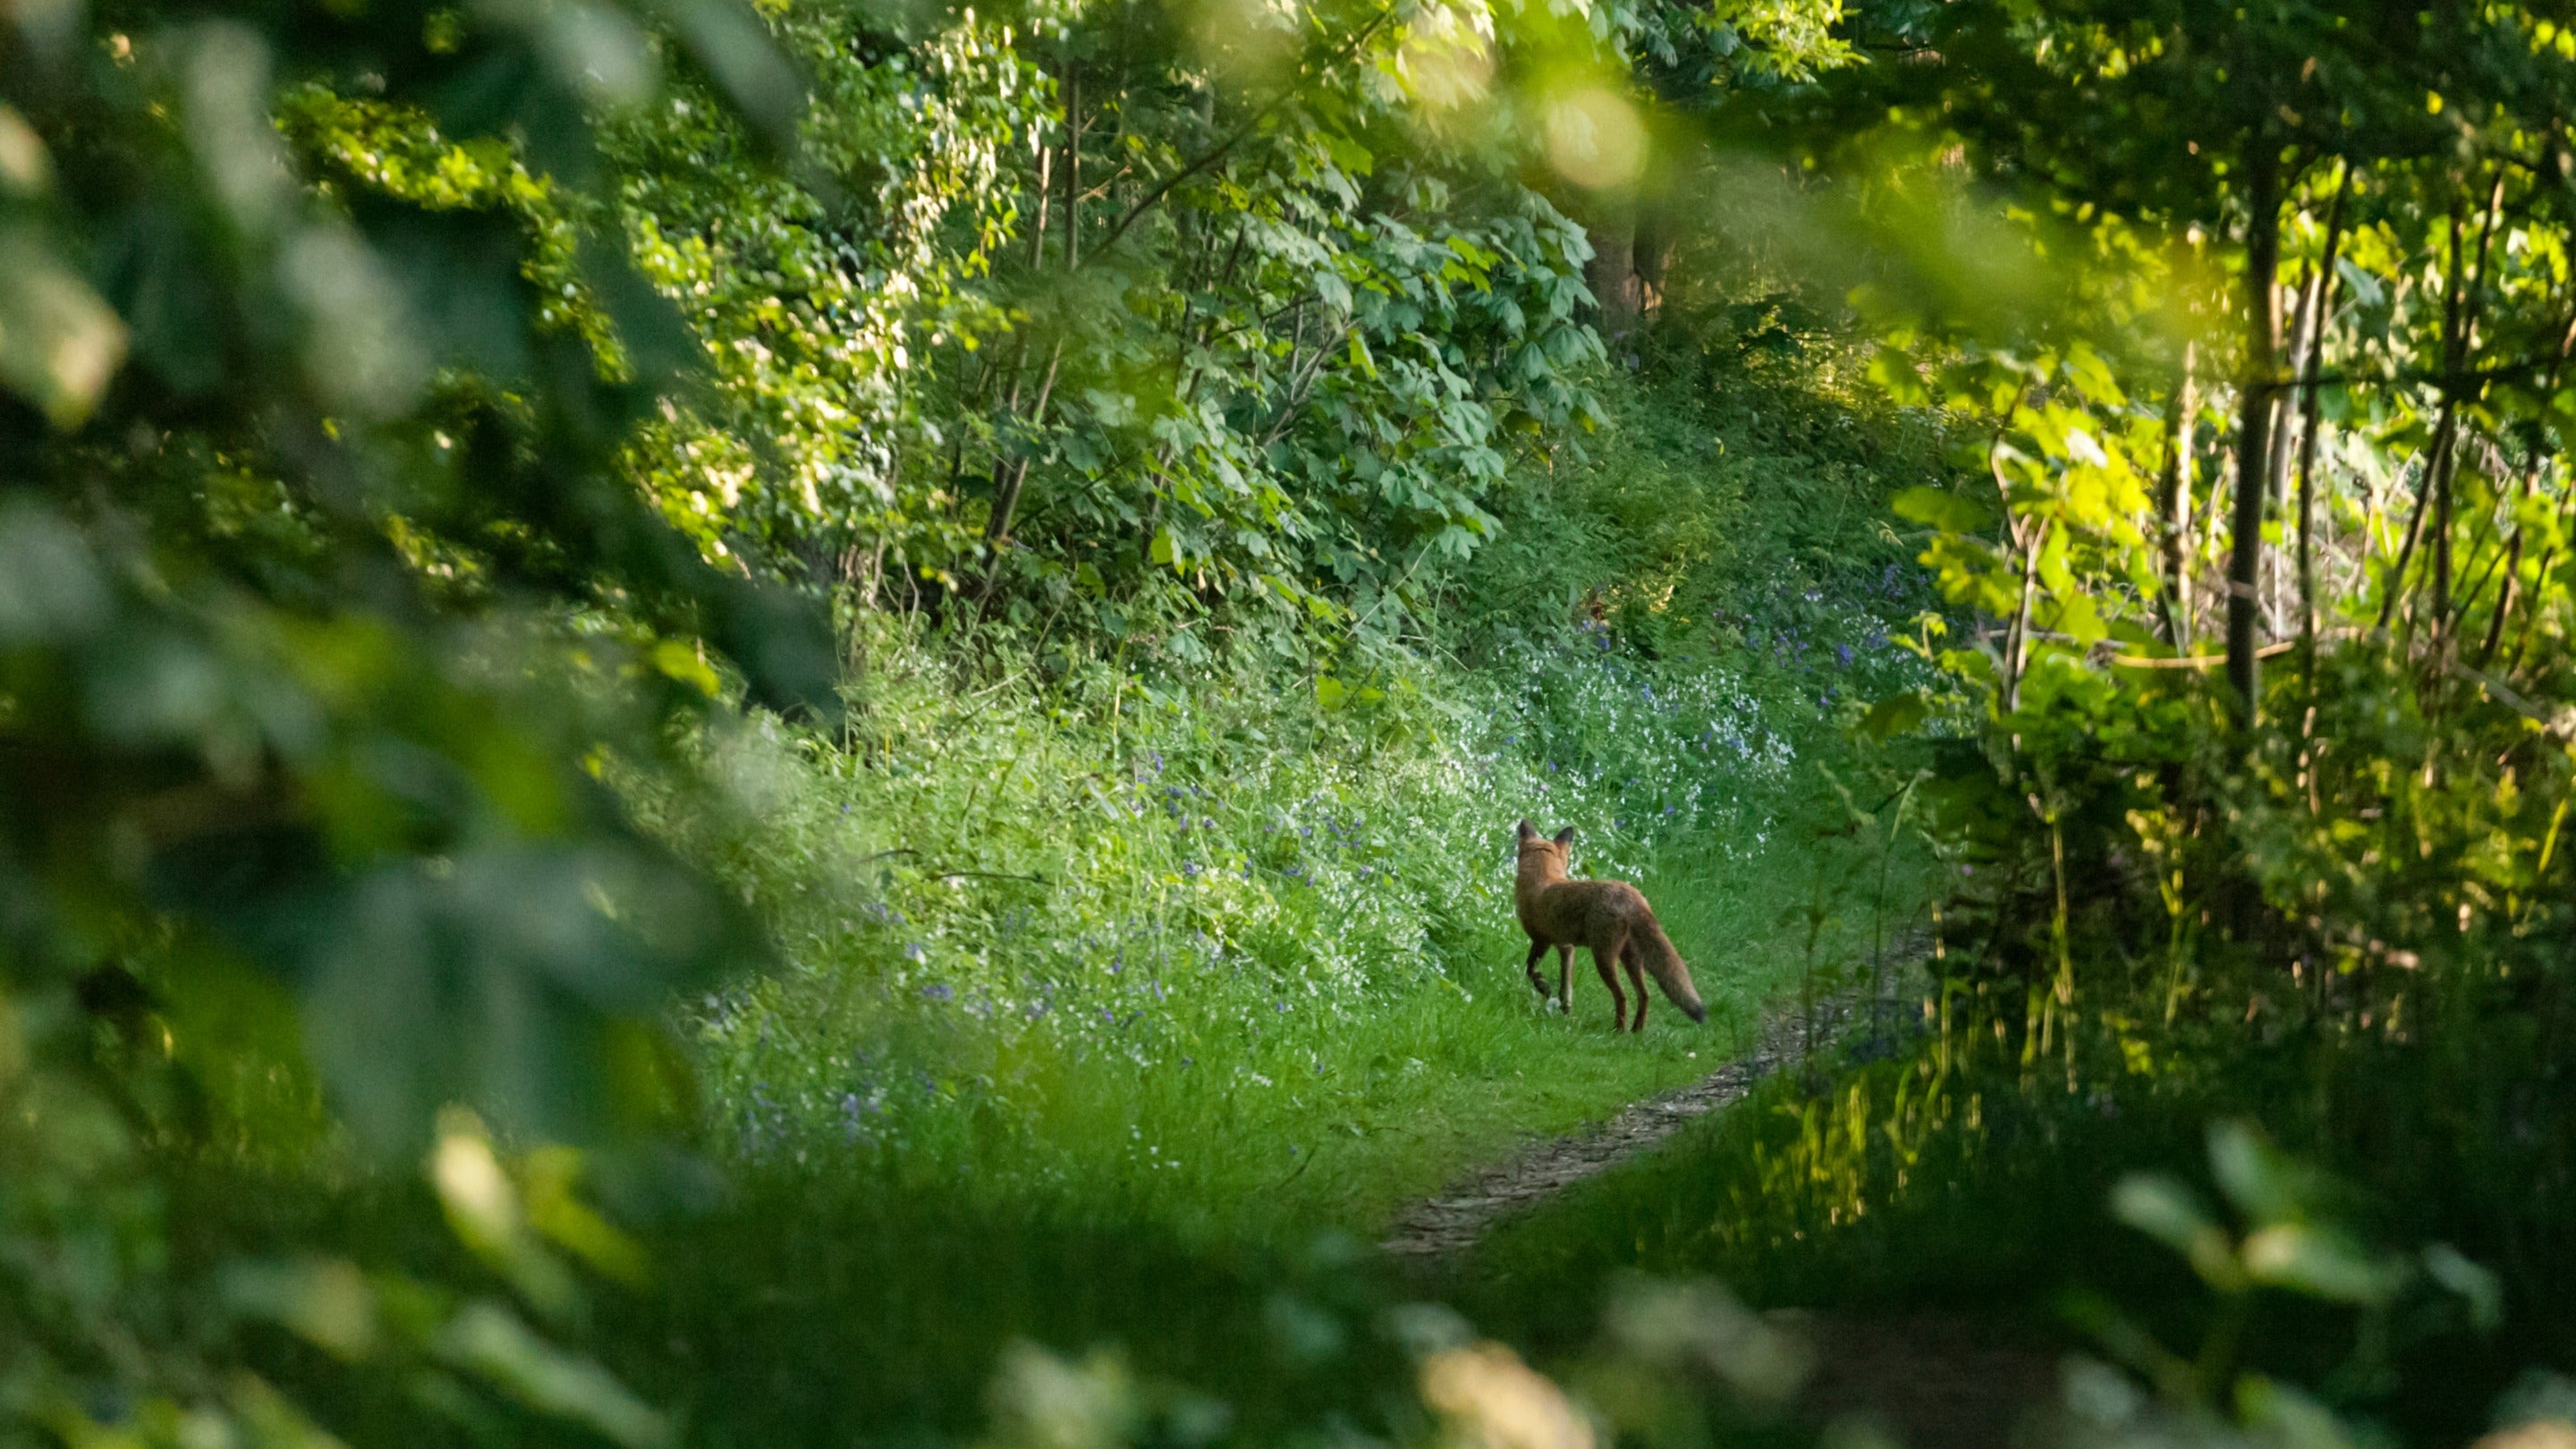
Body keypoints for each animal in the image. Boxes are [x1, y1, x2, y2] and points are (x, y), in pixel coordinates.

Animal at [1513, 820, 1706, 1031]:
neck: (1542, 878)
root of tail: (1632, 896)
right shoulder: (1567, 947)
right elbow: (1566, 986)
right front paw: (1564, 1009)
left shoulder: (1542, 940)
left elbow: (1530, 970)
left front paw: (1544, 988)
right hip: (1631, 959)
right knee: (1644, 995)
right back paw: (1636, 1031)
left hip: (1604, 957)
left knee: (1622, 997)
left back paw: (1618, 1031)